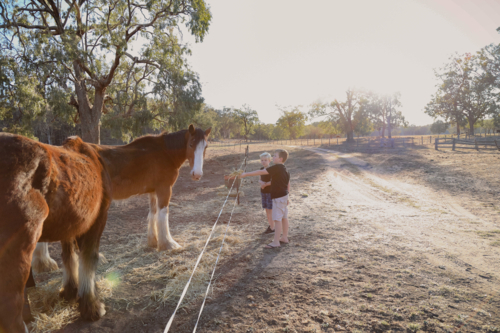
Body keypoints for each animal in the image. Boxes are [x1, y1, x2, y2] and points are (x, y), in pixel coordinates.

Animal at [0, 125, 209, 332]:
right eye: (191, 144)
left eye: (205, 147)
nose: (197, 175)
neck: (162, 151)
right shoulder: (164, 189)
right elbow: (162, 216)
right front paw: (168, 244)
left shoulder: (152, 191)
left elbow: (152, 215)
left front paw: (153, 241)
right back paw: (44, 263)